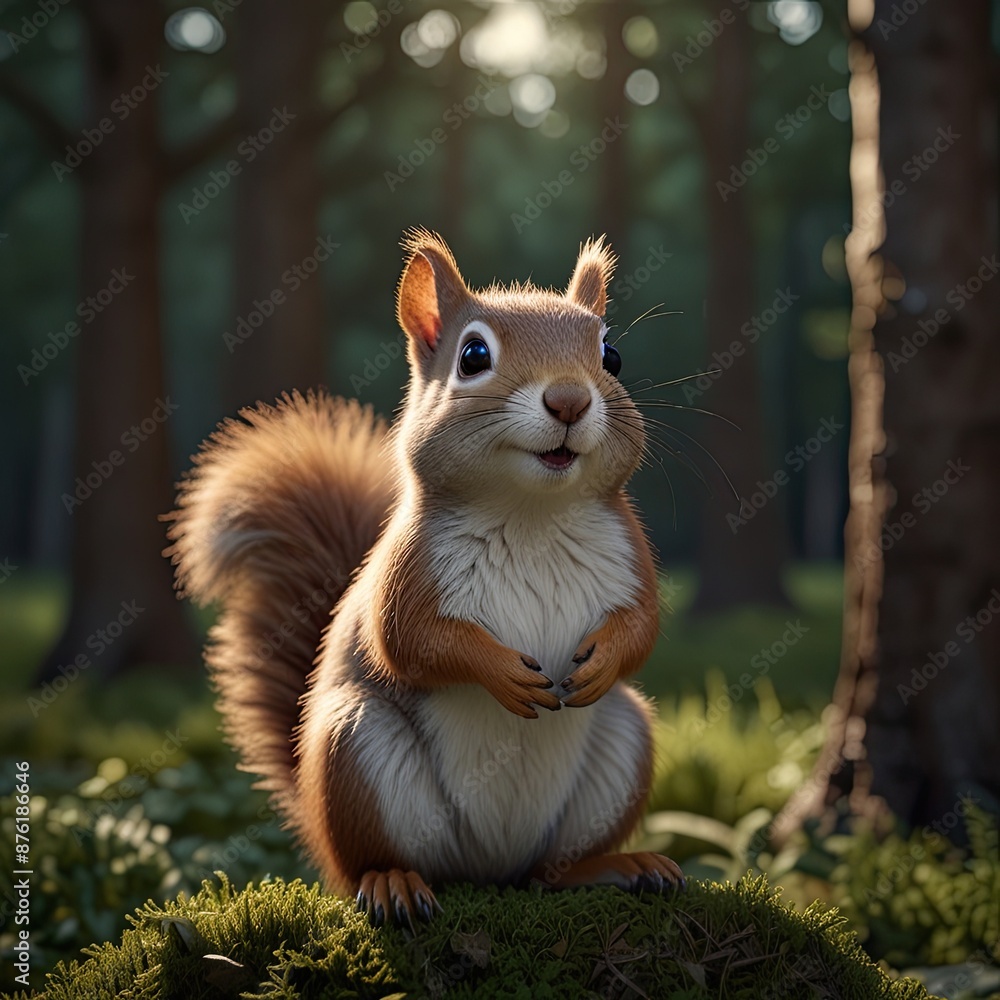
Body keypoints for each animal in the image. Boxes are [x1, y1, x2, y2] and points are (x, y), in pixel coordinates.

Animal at [164, 229, 684, 929]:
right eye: (473, 355)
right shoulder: (406, 572)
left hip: (623, 744)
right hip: (356, 749)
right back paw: (393, 884)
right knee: (373, 861)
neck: (532, 513)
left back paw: (616, 868)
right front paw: (501, 672)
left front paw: (603, 662)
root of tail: (490, 869)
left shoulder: (631, 556)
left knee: (549, 874)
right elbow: (410, 641)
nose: (570, 400)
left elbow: (644, 627)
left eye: (613, 355)